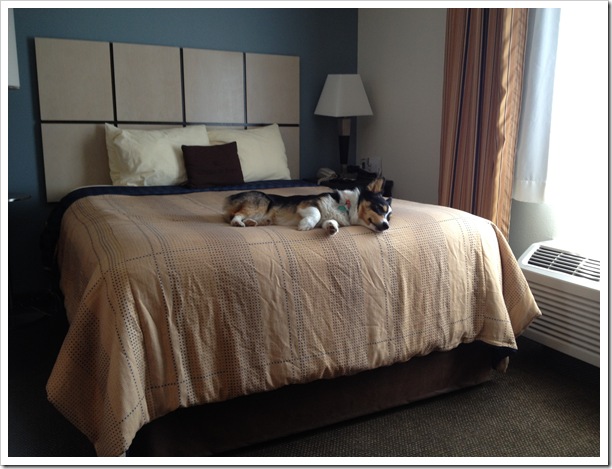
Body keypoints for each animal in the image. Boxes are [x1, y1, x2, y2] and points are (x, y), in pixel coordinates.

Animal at [223, 178, 392, 235]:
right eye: (379, 208)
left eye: (389, 217)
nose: (387, 226)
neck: (347, 206)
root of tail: (229, 198)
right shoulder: (308, 204)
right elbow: (316, 213)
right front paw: (305, 225)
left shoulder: (329, 219)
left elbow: (330, 222)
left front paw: (332, 229)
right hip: (261, 204)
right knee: (236, 215)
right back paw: (239, 223)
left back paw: (251, 223)